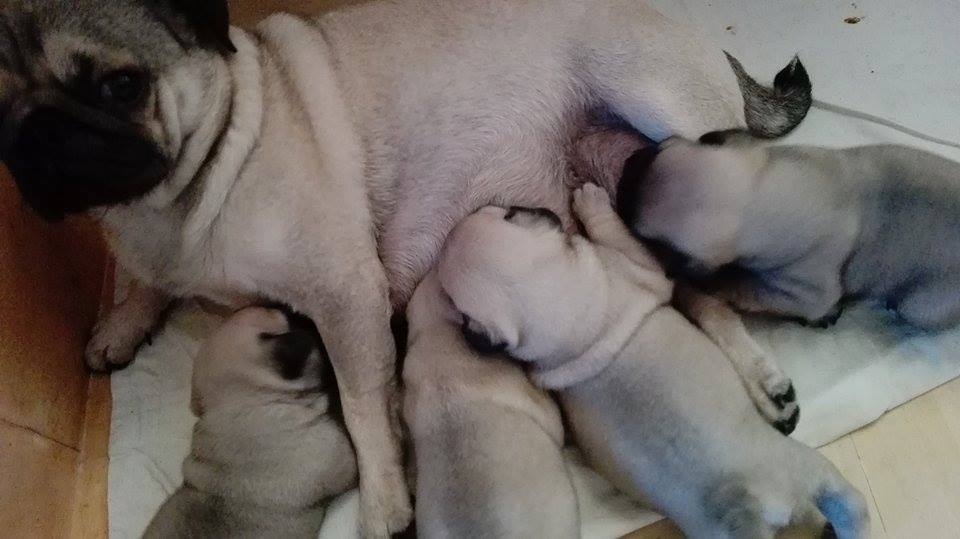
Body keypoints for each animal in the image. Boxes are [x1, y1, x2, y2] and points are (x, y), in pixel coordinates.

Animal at [438, 185, 869, 538]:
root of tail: (745, 505)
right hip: (812, 471)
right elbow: (614, 231)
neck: (566, 314)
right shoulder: (635, 263)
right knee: (851, 506)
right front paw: (592, 200)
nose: (536, 206)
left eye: (506, 212)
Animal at [614, 129, 960, 329]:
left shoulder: (807, 293)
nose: (625, 169)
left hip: (919, 308)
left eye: (643, 234)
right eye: (656, 150)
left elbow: (743, 286)